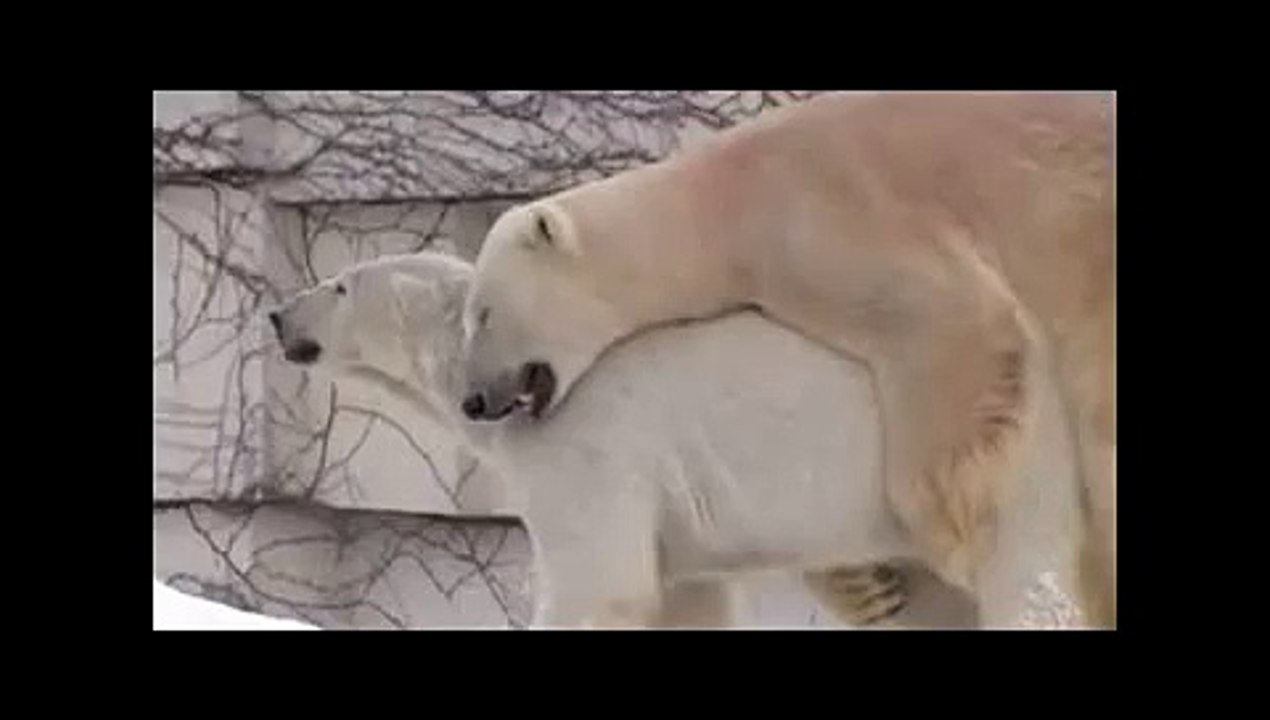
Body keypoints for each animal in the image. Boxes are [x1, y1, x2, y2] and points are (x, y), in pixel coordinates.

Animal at [269, 251, 1083, 628]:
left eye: (339, 285)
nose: (278, 314)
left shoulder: (589, 451)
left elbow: (597, 582)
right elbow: (686, 596)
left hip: (1001, 458)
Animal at [457, 91, 1115, 627]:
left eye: (483, 312)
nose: (474, 399)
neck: (721, 198)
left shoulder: (826, 216)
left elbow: (946, 319)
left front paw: (947, 525)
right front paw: (874, 586)